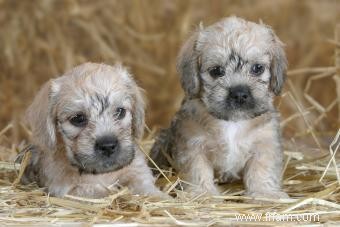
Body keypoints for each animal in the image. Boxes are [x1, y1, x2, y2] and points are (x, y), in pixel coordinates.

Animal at [21, 63, 163, 198]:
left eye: (120, 112)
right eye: (78, 118)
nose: (108, 146)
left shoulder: (137, 170)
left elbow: (144, 185)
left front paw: (158, 196)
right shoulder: (67, 189)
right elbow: (96, 191)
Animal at [151, 16, 290, 199]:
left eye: (257, 68)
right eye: (216, 71)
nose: (239, 93)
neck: (233, 123)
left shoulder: (265, 143)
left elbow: (262, 170)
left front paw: (264, 192)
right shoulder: (193, 146)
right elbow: (198, 171)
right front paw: (202, 193)